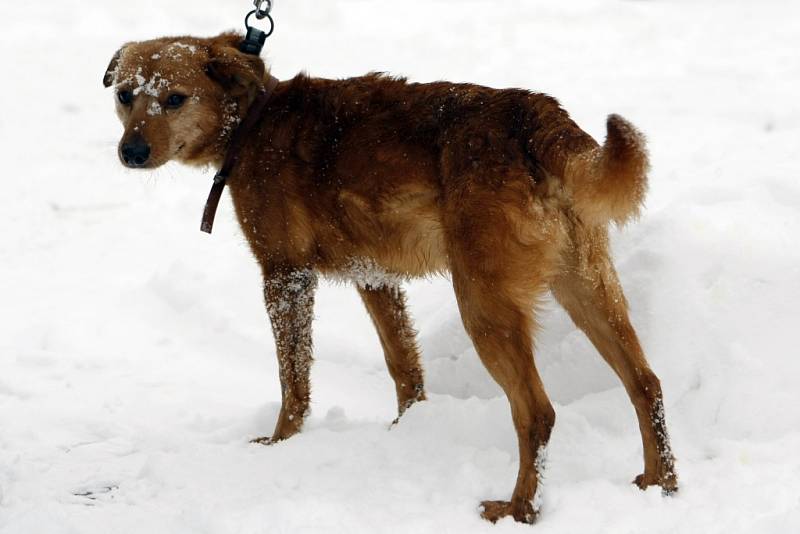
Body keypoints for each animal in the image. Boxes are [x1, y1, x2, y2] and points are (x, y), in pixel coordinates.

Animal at [104, 32, 680, 524]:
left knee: (538, 412)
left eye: (175, 99)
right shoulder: (375, 278)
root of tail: (536, 118)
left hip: (484, 304)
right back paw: (661, 483)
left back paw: (519, 509)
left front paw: (280, 443)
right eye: (126, 95)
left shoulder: (286, 276)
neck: (253, 118)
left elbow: (294, 380)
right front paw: (407, 429)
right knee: (645, 382)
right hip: (587, 285)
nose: (130, 152)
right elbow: (404, 368)